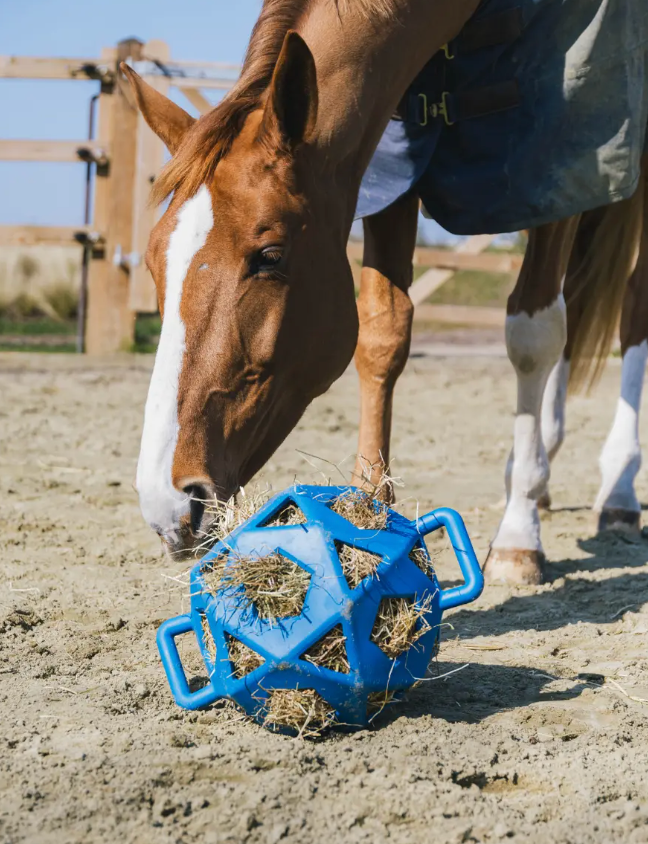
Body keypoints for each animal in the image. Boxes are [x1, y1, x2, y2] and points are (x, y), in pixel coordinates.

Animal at [124, 0, 644, 588]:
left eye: (270, 256)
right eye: (153, 262)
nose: (168, 504)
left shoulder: (554, 157)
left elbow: (532, 336)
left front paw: (518, 534)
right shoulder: (390, 158)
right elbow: (382, 334)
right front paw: (367, 516)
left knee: (631, 308)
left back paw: (618, 490)